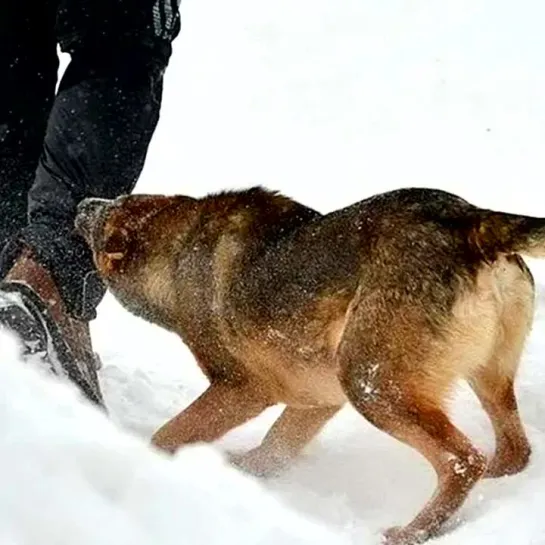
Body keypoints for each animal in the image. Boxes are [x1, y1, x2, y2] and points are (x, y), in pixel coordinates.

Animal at [75, 185, 540, 540]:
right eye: (116, 199)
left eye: (102, 220)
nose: (82, 204)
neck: (177, 252)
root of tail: (471, 219)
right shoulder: (316, 398)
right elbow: (273, 448)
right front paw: (240, 472)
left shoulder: (241, 389)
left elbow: (167, 435)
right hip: (486, 378)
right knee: (514, 452)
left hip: (371, 384)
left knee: (463, 462)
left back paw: (412, 532)